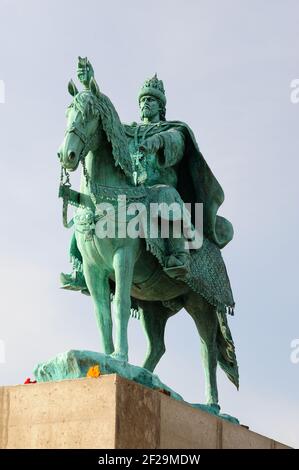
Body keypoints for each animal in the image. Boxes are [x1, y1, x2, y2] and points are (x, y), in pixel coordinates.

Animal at [58, 77, 239, 408]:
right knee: (158, 346)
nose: (67, 156)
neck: (105, 200)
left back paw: (211, 404)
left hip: (203, 304)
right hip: (154, 307)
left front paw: (118, 356)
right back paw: (146, 377)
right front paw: (108, 358)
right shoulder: (92, 269)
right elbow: (102, 312)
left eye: (88, 114)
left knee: (207, 349)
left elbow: (119, 304)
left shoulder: (123, 258)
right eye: (67, 112)